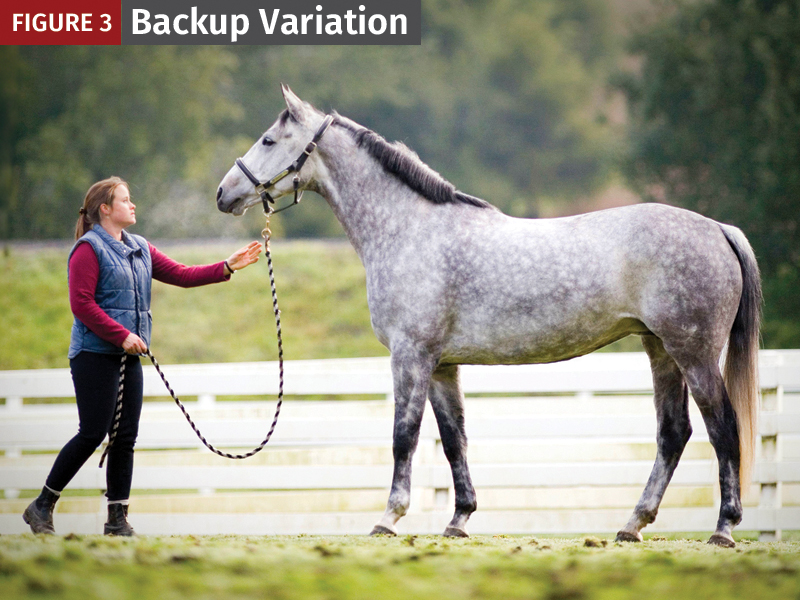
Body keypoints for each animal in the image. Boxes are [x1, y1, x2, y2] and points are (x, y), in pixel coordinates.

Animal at [216, 85, 761, 547]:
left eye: (269, 139)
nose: (224, 194)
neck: (410, 230)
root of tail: (719, 228)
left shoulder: (411, 356)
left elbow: (403, 437)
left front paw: (389, 518)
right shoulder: (442, 365)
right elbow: (454, 440)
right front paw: (459, 520)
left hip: (693, 353)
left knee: (722, 428)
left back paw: (723, 528)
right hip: (659, 349)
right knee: (674, 434)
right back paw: (632, 525)